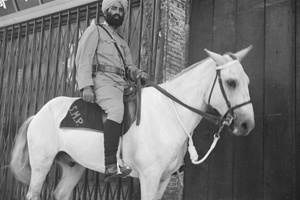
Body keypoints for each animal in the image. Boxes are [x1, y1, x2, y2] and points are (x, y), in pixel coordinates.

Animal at [9, 46, 253, 199]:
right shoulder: (149, 177)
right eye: (231, 82)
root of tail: (37, 115)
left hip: (73, 166)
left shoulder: (163, 180)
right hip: (42, 164)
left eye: (247, 81)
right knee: (33, 193)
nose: (247, 125)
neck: (168, 113)